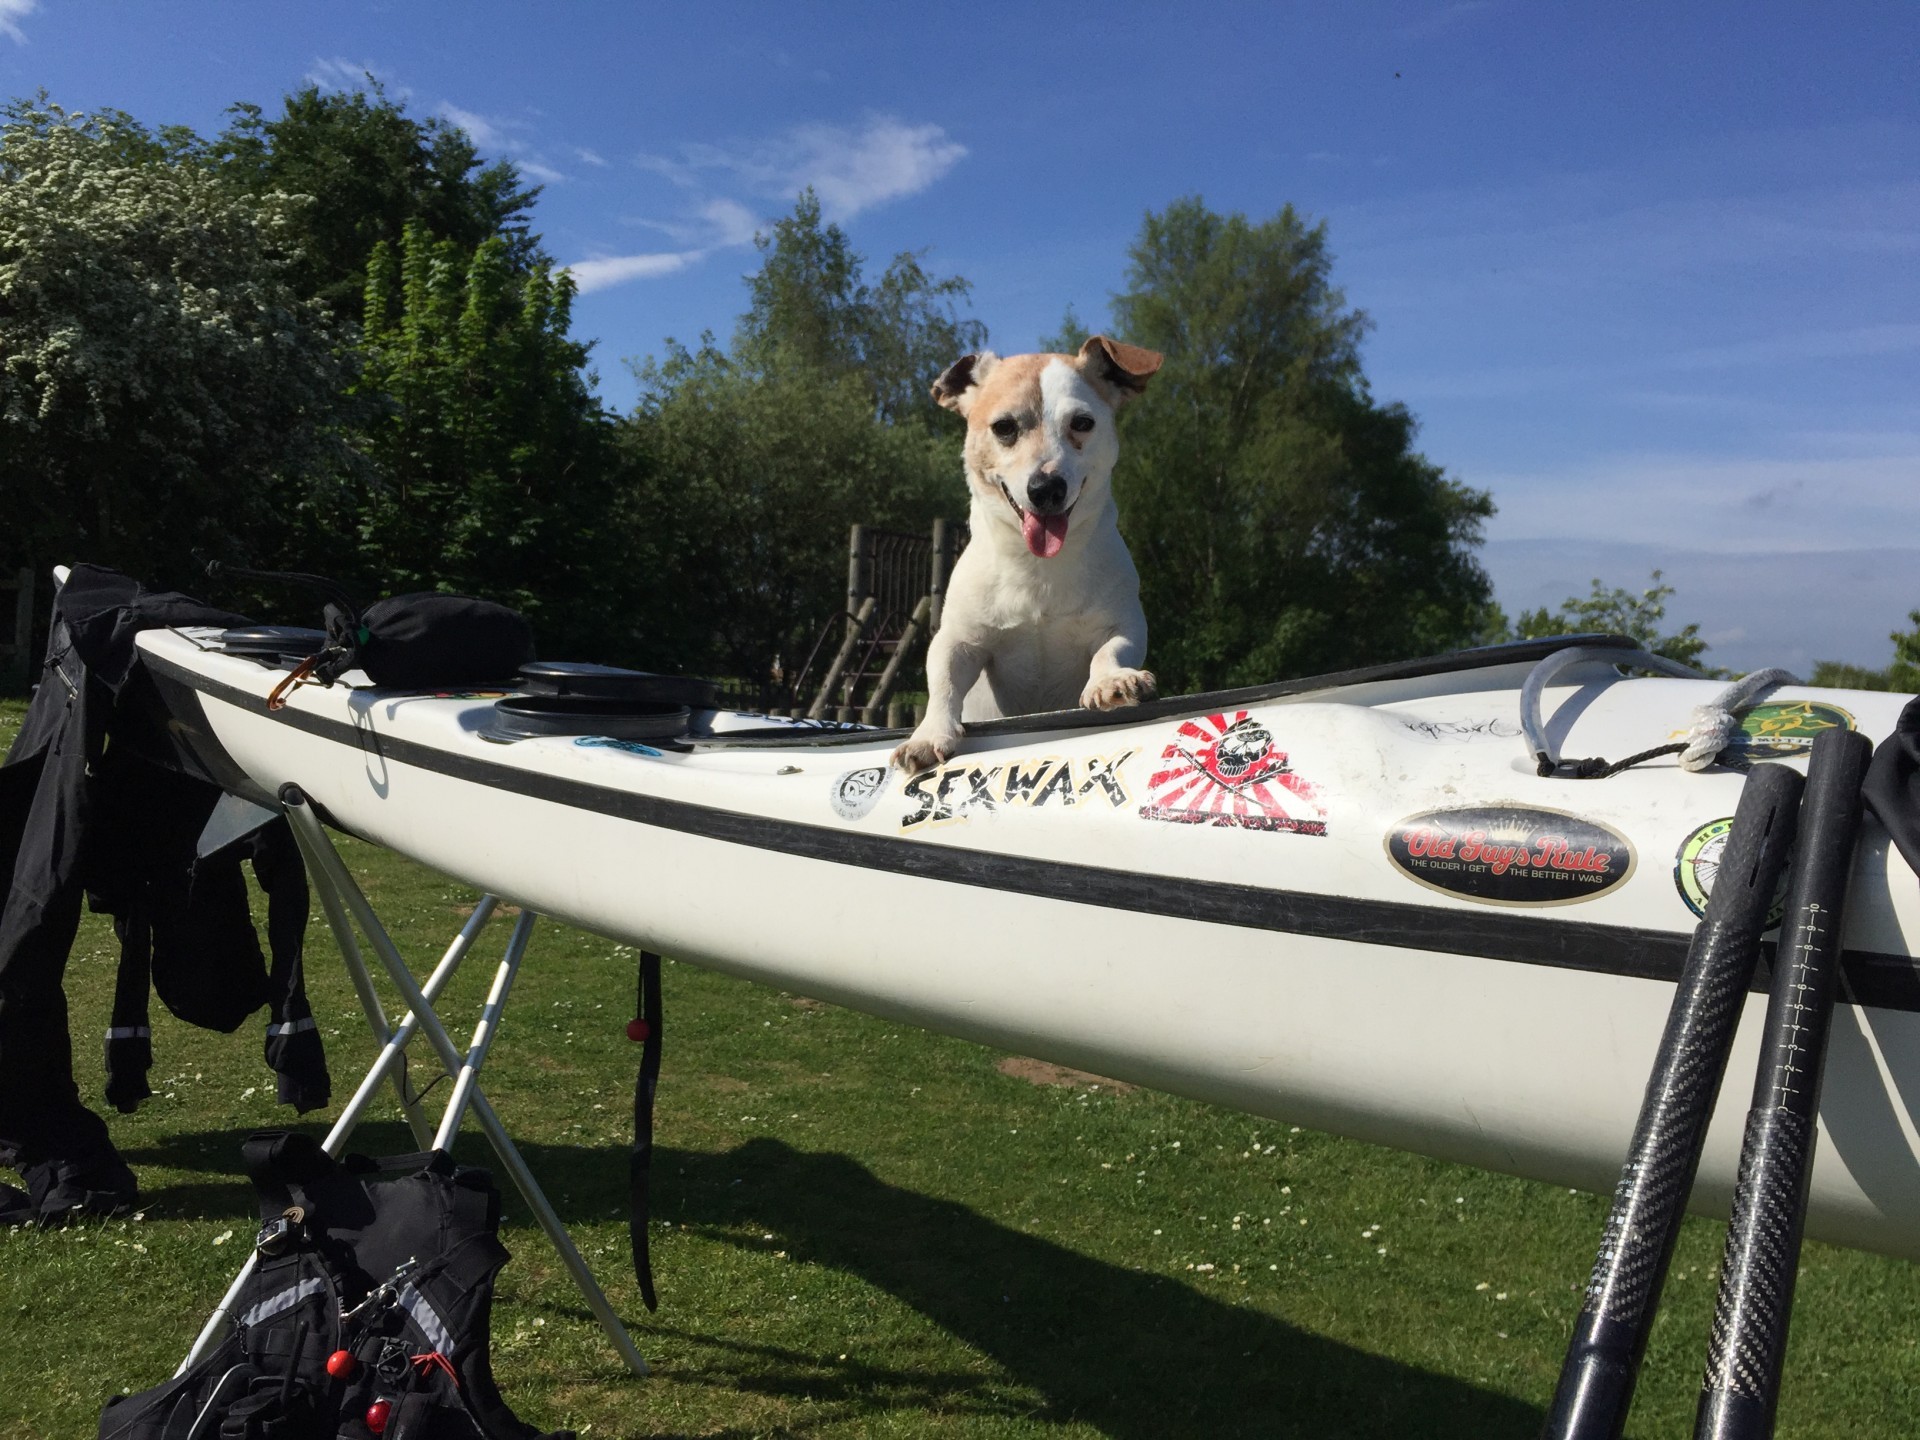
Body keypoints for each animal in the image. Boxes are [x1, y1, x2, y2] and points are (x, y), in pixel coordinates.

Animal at [890, 336, 1159, 779]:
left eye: (1082, 423)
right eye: (1004, 427)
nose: (1046, 487)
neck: (1039, 568)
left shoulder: (1124, 624)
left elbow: (1112, 650)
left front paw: (1111, 682)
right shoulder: (959, 641)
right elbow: (943, 681)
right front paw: (928, 736)